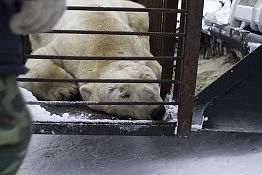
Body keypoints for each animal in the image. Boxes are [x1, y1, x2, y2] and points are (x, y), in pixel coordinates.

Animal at [20, 0, 166, 119]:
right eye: (124, 95)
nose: (157, 111)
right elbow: (38, 59)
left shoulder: (138, 47)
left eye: (153, 84)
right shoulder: (66, 46)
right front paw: (67, 90)